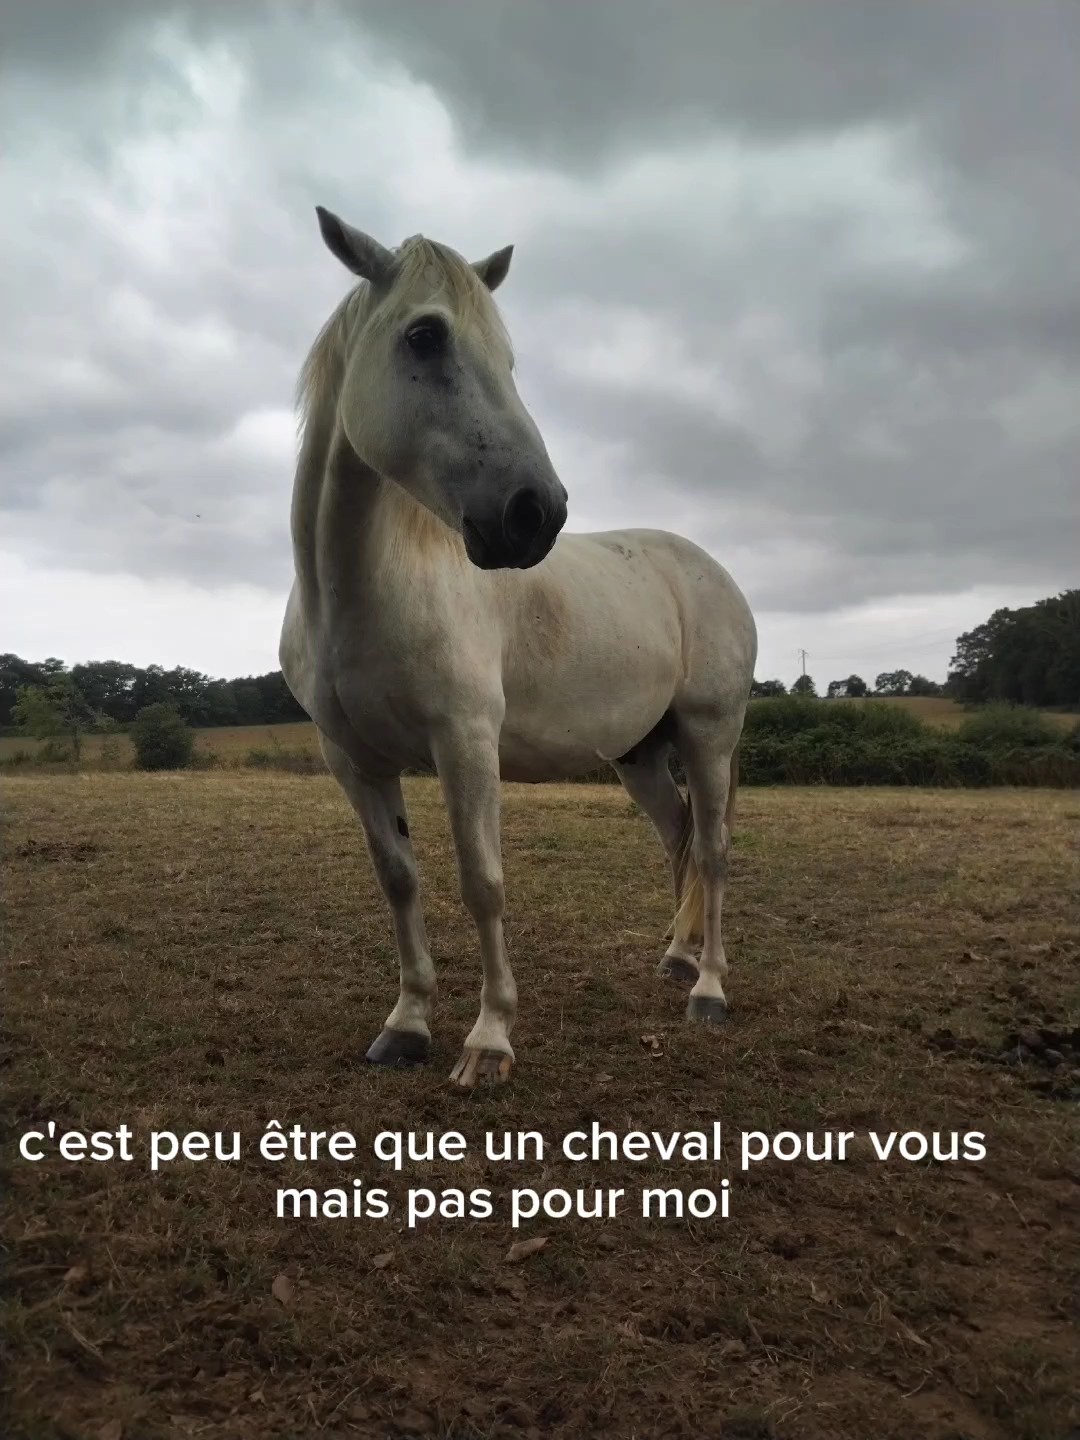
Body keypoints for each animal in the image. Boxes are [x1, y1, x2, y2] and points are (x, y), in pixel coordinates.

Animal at [279, 205, 758, 1087]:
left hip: (709, 736)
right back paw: (676, 959)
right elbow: (399, 880)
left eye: (508, 357)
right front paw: (407, 1024)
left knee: (711, 850)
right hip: (641, 755)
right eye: (425, 336)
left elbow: (483, 883)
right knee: (677, 839)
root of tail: (709, 570)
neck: (369, 591)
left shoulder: (466, 742)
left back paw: (707, 989)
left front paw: (489, 1039)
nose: (536, 512)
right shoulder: (353, 758)